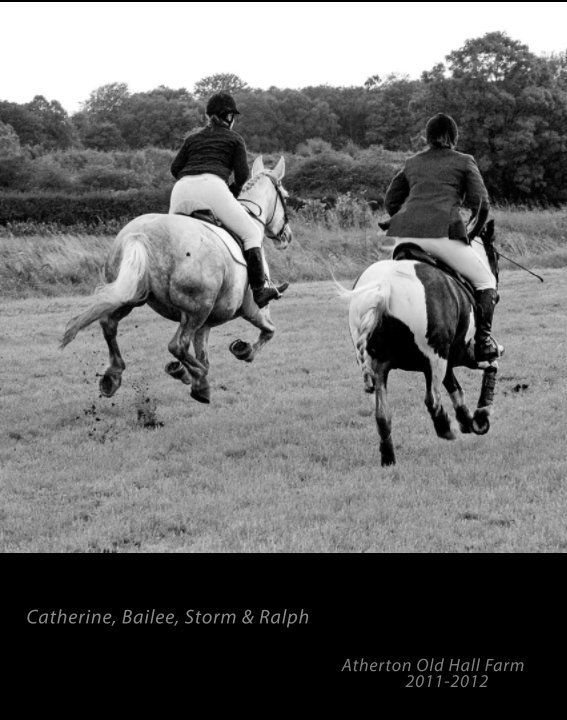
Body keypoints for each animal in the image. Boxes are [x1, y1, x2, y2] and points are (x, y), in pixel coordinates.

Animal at [62, 157, 292, 402]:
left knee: (109, 325)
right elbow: (269, 331)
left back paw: (113, 377)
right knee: (177, 345)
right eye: (286, 197)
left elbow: (203, 353)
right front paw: (243, 350)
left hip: (131, 296)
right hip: (196, 309)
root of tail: (142, 235)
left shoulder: (206, 324)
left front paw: (182, 371)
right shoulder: (253, 309)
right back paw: (199, 380)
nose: (286, 236)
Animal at [340, 221, 500, 466]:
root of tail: (385, 287)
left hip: (379, 366)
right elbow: (490, 365)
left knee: (382, 415)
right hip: (435, 358)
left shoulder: (447, 359)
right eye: (495, 256)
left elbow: (455, 387)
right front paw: (479, 418)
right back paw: (445, 428)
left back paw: (389, 459)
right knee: (432, 400)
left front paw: (467, 419)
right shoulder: (464, 355)